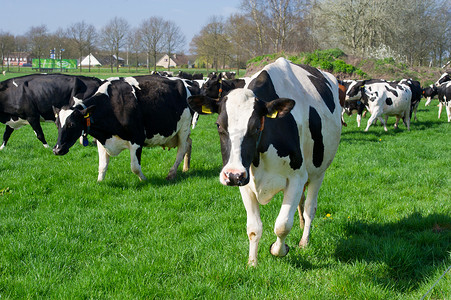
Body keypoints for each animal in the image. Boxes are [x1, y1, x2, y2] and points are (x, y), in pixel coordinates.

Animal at [53, 76, 194, 182]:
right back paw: (186, 168)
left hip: (184, 128)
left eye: (72, 124)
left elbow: (135, 167)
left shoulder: (137, 139)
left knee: (182, 149)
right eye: (57, 124)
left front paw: (144, 180)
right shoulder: (102, 141)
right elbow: (102, 166)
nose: (57, 149)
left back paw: (172, 173)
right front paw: (99, 183)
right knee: (189, 143)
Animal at [186, 57, 340, 266]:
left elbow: (282, 224)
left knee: (310, 207)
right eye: (219, 125)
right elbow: (253, 228)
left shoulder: (297, 178)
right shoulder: (246, 181)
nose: (232, 175)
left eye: (256, 126)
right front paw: (252, 263)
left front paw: (278, 250)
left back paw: (304, 241)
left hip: (318, 172)